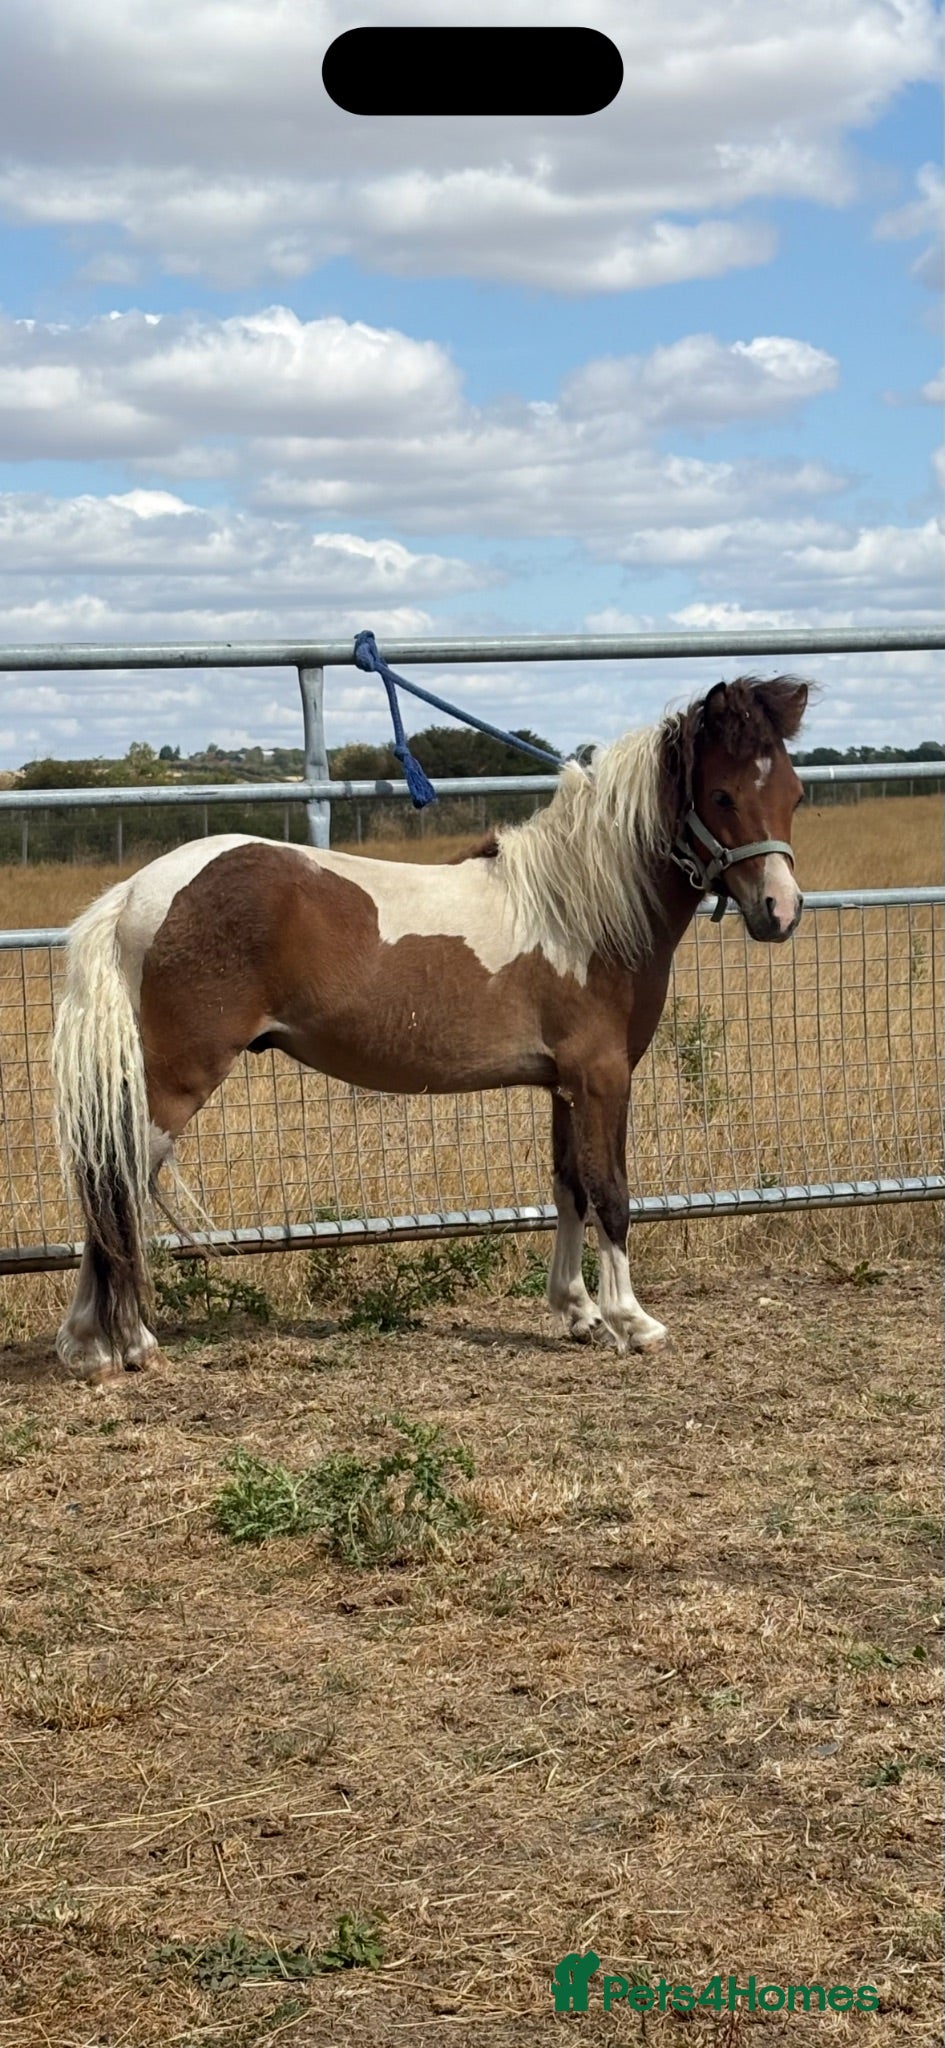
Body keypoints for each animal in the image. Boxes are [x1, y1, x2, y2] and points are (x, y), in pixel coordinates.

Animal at [51, 674, 809, 1384]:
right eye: (721, 796)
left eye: (795, 794)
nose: (781, 910)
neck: (580, 913)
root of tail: (138, 892)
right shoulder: (601, 1078)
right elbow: (611, 1193)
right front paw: (632, 1321)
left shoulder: (562, 1084)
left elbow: (568, 1188)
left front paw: (578, 1313)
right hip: (173, 1084)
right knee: (117, 1186)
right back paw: (128, 1344)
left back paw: (90, 1347)